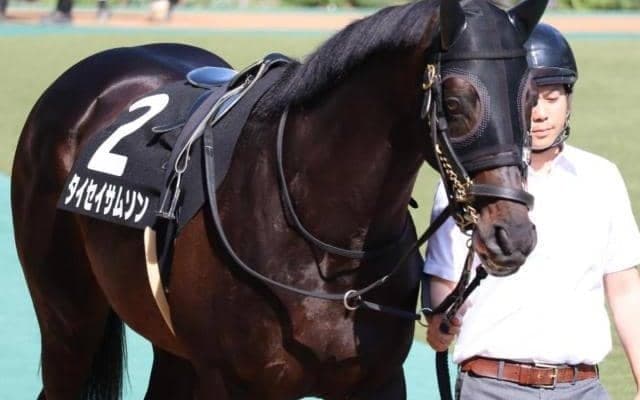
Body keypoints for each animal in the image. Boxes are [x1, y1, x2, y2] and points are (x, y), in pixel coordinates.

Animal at [11, 0, 545, 398]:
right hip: (68, 320)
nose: (512, 234)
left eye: (531, 100)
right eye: (454, 102)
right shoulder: (232, 383)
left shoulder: (377, 382)